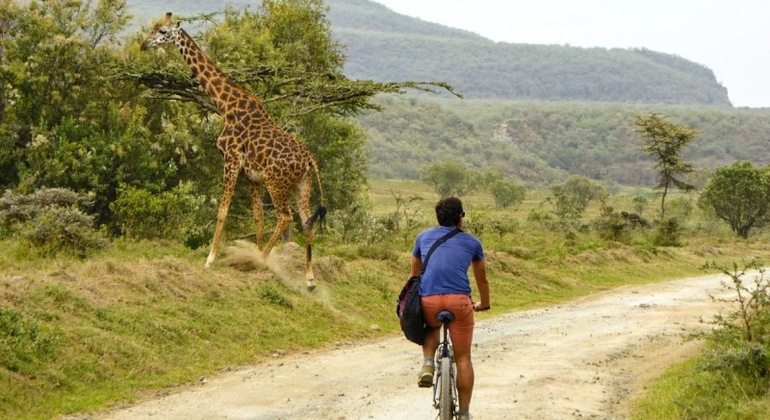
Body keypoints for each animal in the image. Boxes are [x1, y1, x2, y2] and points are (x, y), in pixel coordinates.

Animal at [140, 12, 326, 288]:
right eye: (153, 27)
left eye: (163, 32)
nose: (143, 45)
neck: (225, 104)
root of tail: (309, 159)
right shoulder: (251, 175)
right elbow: (258, 216)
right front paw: (252, 252)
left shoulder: (231, 160)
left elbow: (223, 210)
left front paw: (211, 259)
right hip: (302, 185)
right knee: (305, 221)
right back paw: (310, 279)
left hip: (276, 182)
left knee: (285, 217)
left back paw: (262, 260)